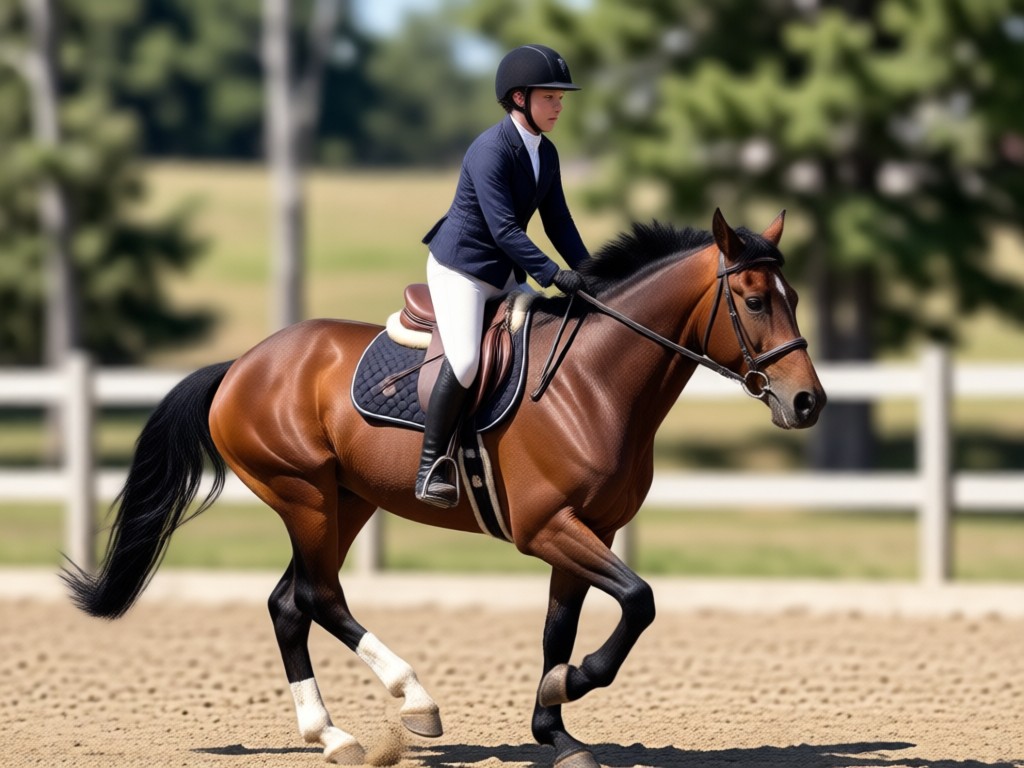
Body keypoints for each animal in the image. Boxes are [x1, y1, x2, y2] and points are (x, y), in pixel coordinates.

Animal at [62, 208, 825, 768]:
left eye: (792, 297)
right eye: (755, 301)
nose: (808, 403)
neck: (595, 382)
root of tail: (243, 364)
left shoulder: (589, 529)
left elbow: (561, 627)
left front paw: (555, 728)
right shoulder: (549, 528)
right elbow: (639, 601)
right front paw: (569, 686)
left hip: (346, 501)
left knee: (289, 602)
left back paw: (331, 733)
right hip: (303, 495)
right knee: (317, 596)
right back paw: (410, 703)